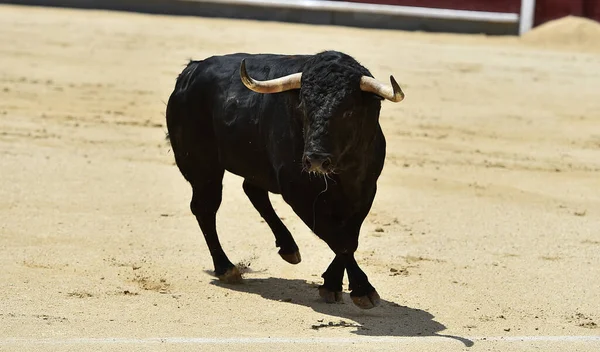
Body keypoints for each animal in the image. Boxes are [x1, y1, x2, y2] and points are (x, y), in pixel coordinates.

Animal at [166, 49, 406, 308]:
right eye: (304, 107)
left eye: (349, 111)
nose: (316, 160)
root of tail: (191, 70)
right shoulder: (298, 192)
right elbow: (337, 237)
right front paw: (362, 290)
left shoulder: (365, 190)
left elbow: (349, 237)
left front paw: (333, 284)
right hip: (203, 167)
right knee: (206, 208)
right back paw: (226, 268)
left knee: (252, 190)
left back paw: (288, 248)